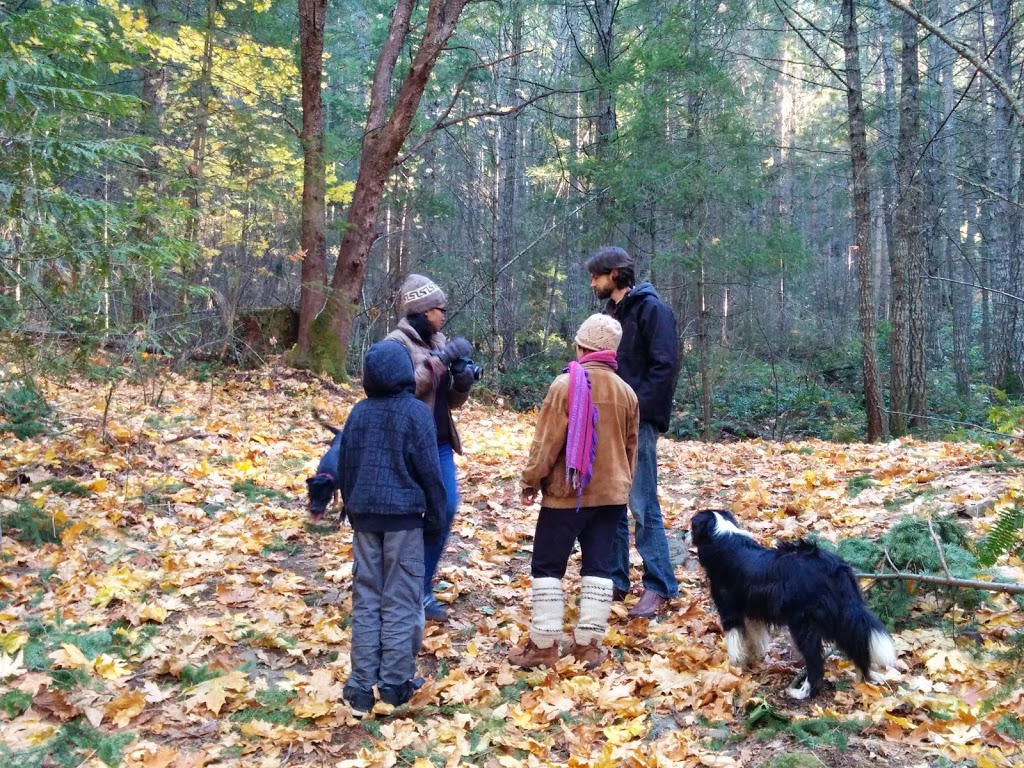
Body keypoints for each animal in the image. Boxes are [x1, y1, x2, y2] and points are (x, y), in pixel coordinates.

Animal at [688, 507, 897, 700]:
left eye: (691, 526)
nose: (684, 535)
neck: (721, 536)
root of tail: (834, 566)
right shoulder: (752, 611)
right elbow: (754, 638)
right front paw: (752, 660)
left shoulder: (729, 610)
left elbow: (735, 641)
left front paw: (734, 667)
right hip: (842, 617)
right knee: (858, 644)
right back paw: (863, 682)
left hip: (804, 624)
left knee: (816, 663)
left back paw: (802, 692)